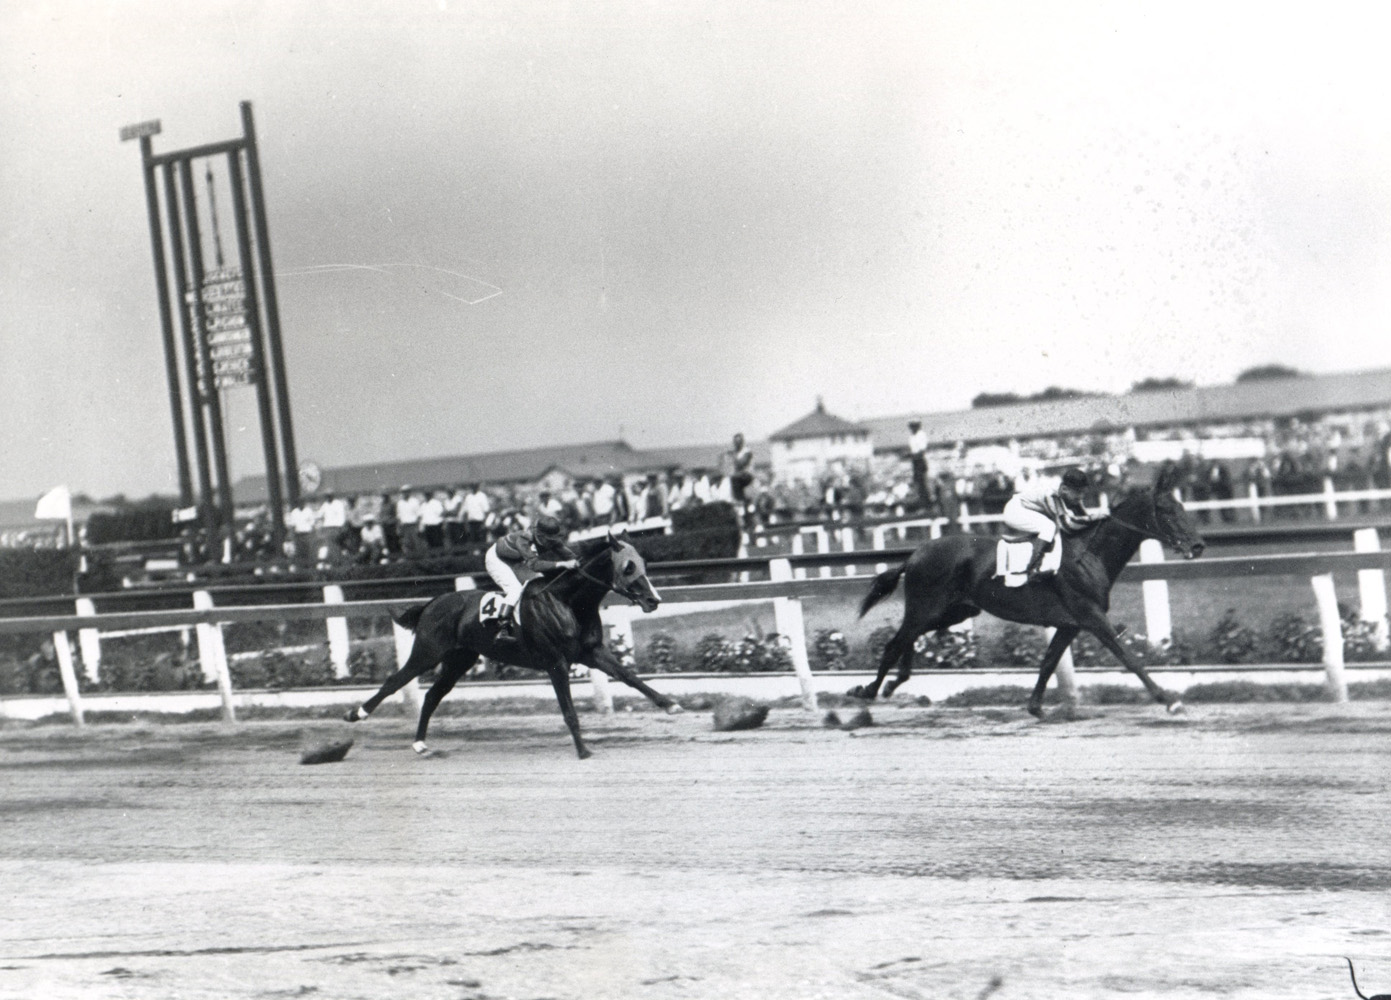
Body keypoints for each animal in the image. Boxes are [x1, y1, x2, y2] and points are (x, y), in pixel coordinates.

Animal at [342, 531, 678, 756]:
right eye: (628, 567)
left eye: (642, 563)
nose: (654, 599)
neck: (567, 601)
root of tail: (432, 602)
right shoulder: (556, 662)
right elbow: (568, 709)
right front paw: (583, 750)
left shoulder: (590, 652)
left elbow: (630, 677)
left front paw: (670, 704)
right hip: (428, 651)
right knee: (395, 681)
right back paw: (356, 714)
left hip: (458, 660)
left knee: (433, 695)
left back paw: (420, 743)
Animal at [845, 464, 1207, 717]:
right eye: (1168, 511)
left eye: (1184, 508)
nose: (1198, 546)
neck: (1090, 555)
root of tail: (915, 554)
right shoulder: (1091, 617)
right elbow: (1129, 659)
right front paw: (1169, 701)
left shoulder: (1070, 624)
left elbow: (1048, 662)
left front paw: (1035, 706)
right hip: (928, 606)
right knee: (896, 642)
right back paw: (868, 690)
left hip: (955, 610)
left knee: (909, 638)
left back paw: (892, 683)